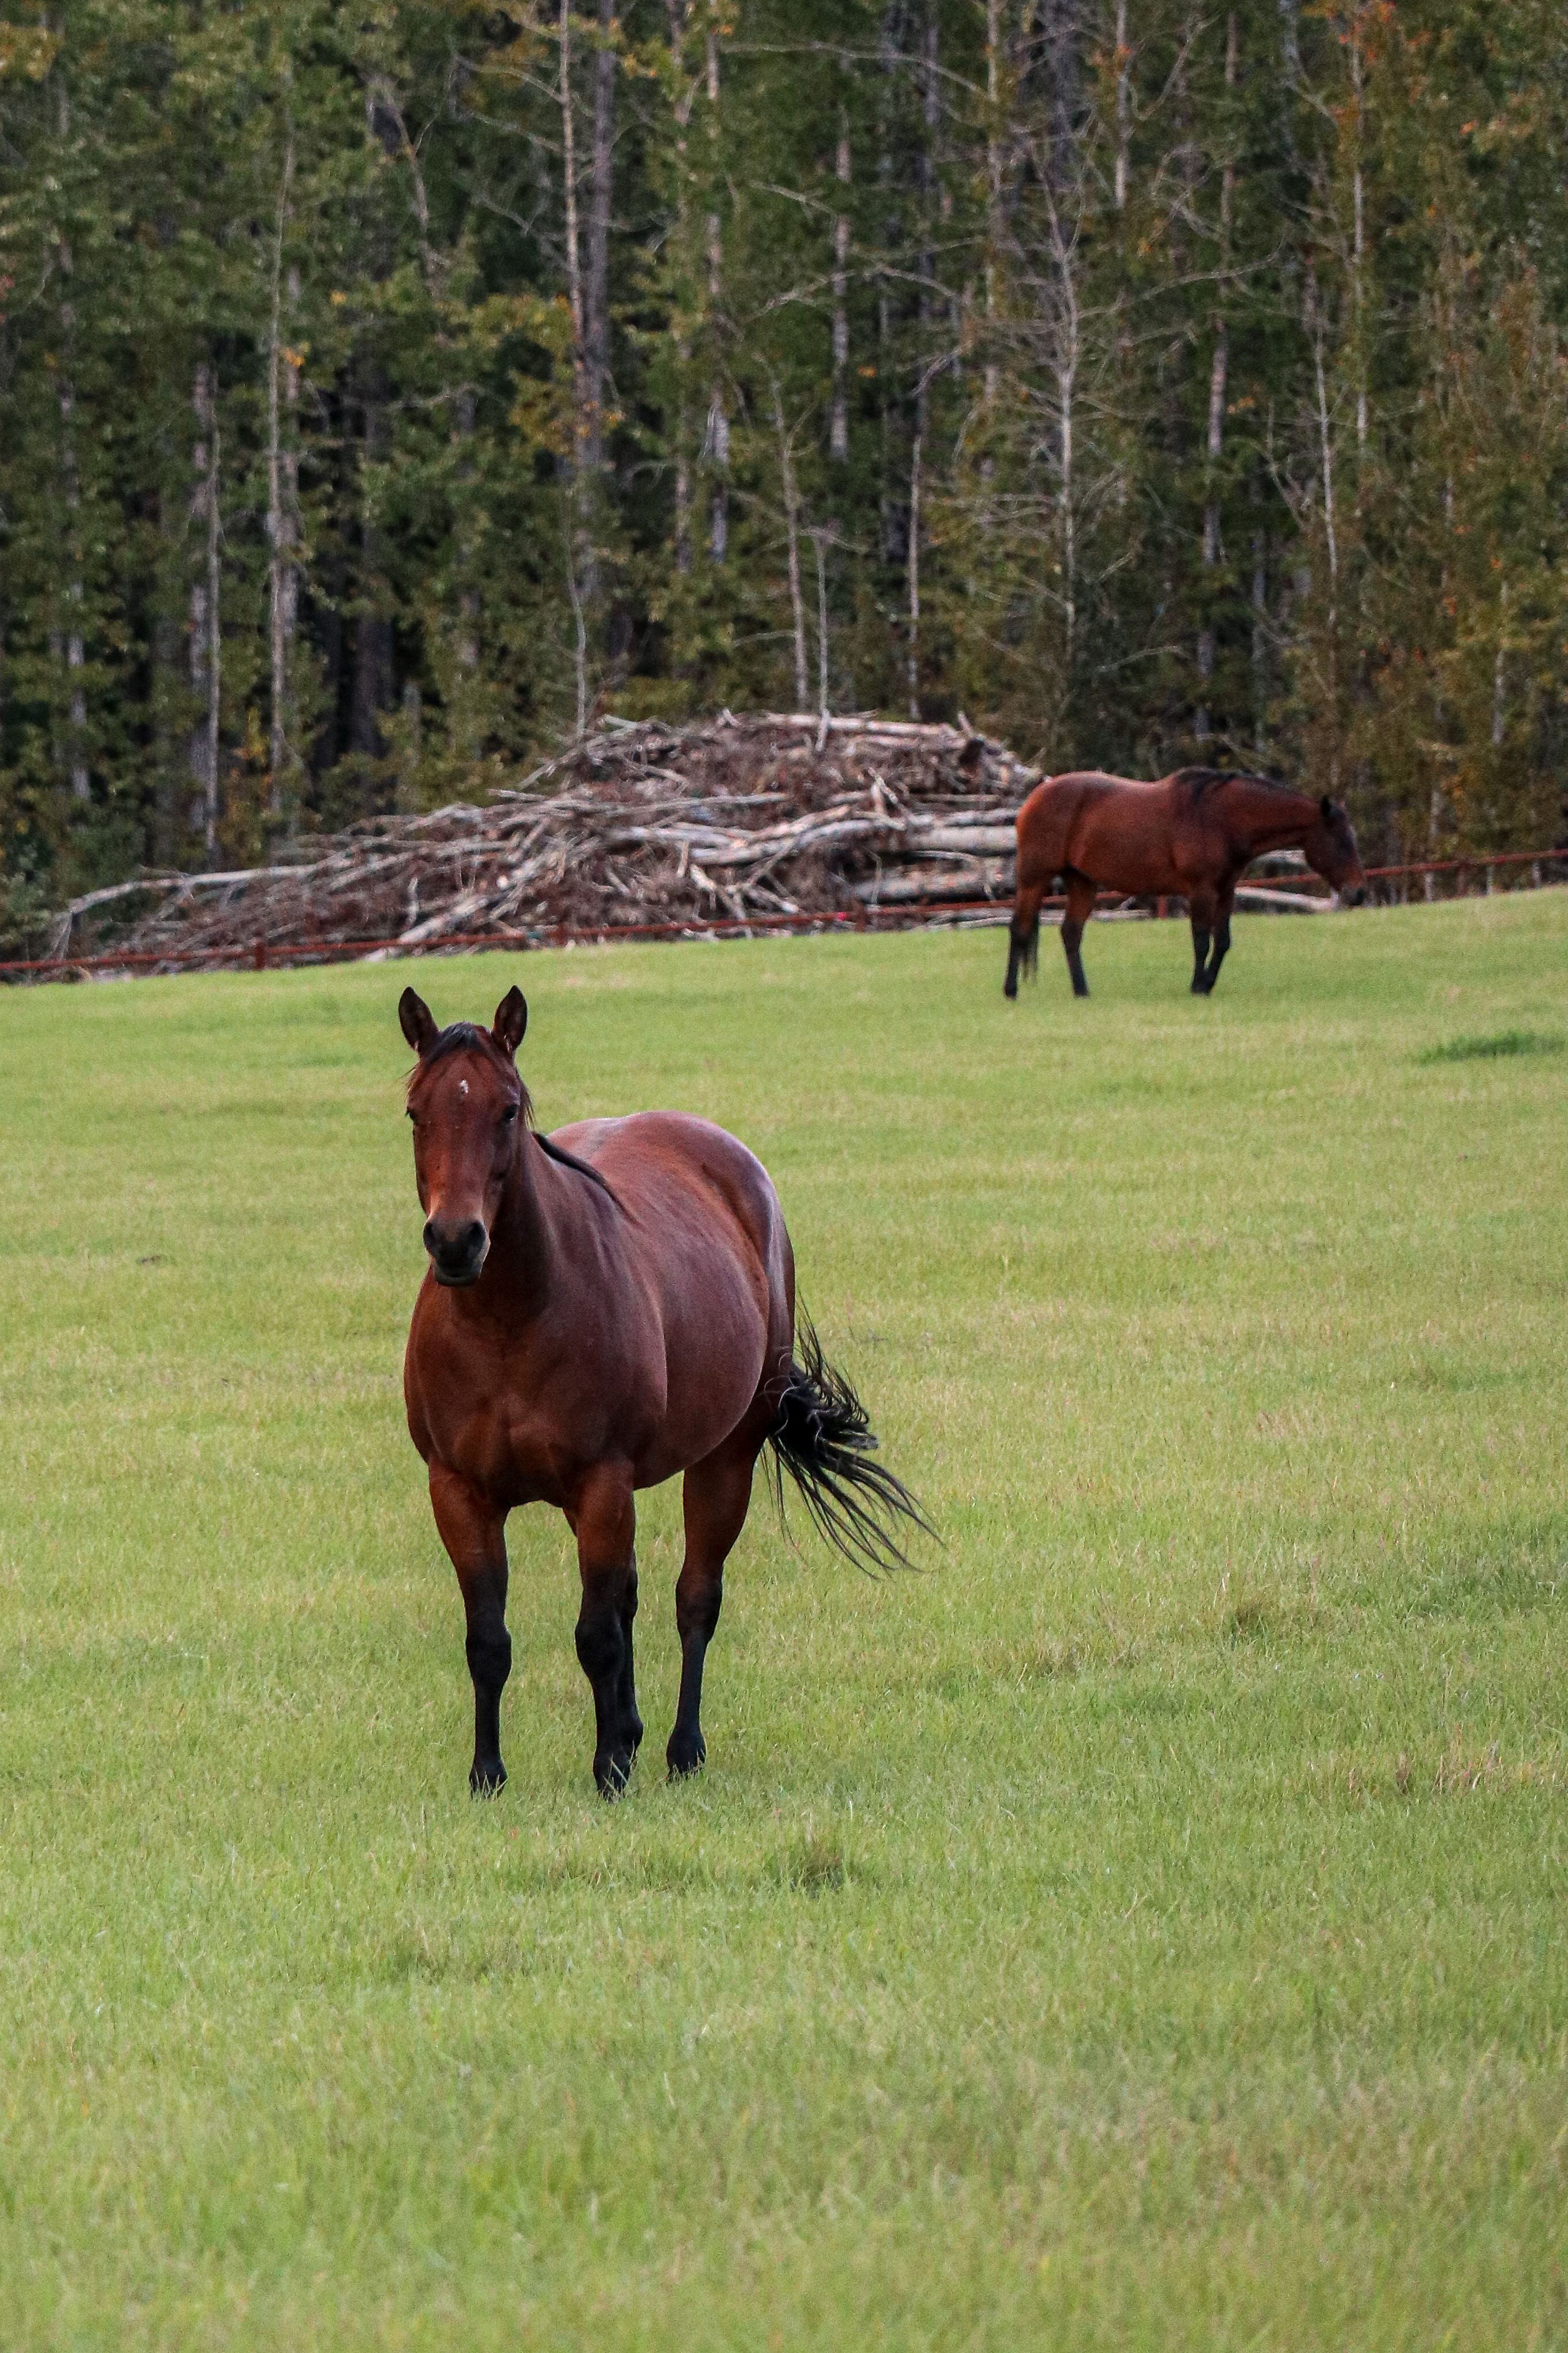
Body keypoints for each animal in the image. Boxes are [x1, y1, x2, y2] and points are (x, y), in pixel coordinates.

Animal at [398, 983, 927, 1800]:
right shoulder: (458, 1490)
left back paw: (681, 1748)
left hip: (724, 1458)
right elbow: (489, 1638)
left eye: (508, 1109)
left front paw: (608, 1770)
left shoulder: (601, 1482)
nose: (456, 1241)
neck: (509, 1322)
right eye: (416, 1112)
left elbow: (597, 1634)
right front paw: (489, 1772)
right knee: (630, 1596)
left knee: (693, 1599)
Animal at [1003, 767, 1367, 1000]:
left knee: (1070, 934)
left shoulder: (1225, 891)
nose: (1359, 893)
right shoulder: (1201, 890)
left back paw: (1082, 991)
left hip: (1082, 883)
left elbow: (1222, 942)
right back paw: (1011, 991)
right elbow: (1202, 941)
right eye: (1341, 842)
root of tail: (1035, 797)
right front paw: (1197, 987)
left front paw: (1207, 984)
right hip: (1034, 879)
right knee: (1020, 928)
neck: (1221, 818)